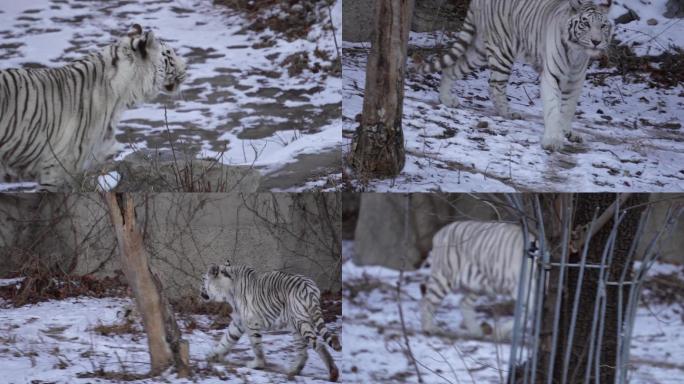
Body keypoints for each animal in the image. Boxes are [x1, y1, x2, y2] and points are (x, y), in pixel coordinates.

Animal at [202, 260, 342, 380]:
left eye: (203, 280)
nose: (200, 291)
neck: (227, 289)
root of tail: (310, 288)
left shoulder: (251, 322)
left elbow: (256, 346)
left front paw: (257, 365)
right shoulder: (239, 322)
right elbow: (227, 339)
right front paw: (213, 355)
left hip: (301, 322)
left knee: (318, 345)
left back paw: (333, 373)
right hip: (296, 325)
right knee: (303, 351)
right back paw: (293, 371)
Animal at [422, 0, 616, 150]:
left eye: (603, 26)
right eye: (586, 24)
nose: (596, 41)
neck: (577, 53)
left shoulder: (575, 81)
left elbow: (568, 109)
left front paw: (568, 132)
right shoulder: (552, 76)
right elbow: (553, 109)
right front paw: (552, 140)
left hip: (479, 52)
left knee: (452, 68)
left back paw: (446, 99)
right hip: (502, 51)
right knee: (495, 85)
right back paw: (508, 113)